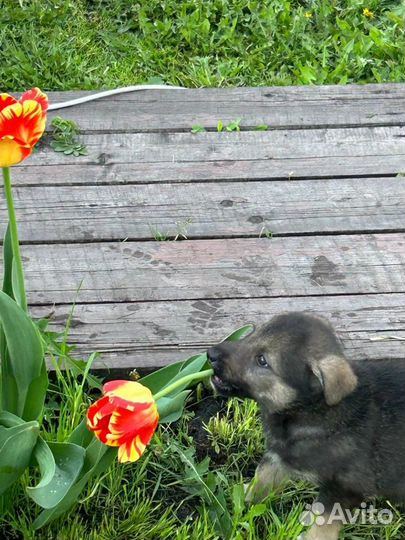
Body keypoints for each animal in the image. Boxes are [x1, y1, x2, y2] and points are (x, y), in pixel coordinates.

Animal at [208, 312, 404, 540]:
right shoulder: (278, 455)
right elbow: (262, 477)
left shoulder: (345, 488)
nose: (210, 354)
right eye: (252, 333)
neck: (308, 411)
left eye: (262, 360)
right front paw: (242, 503)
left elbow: (323, 522)